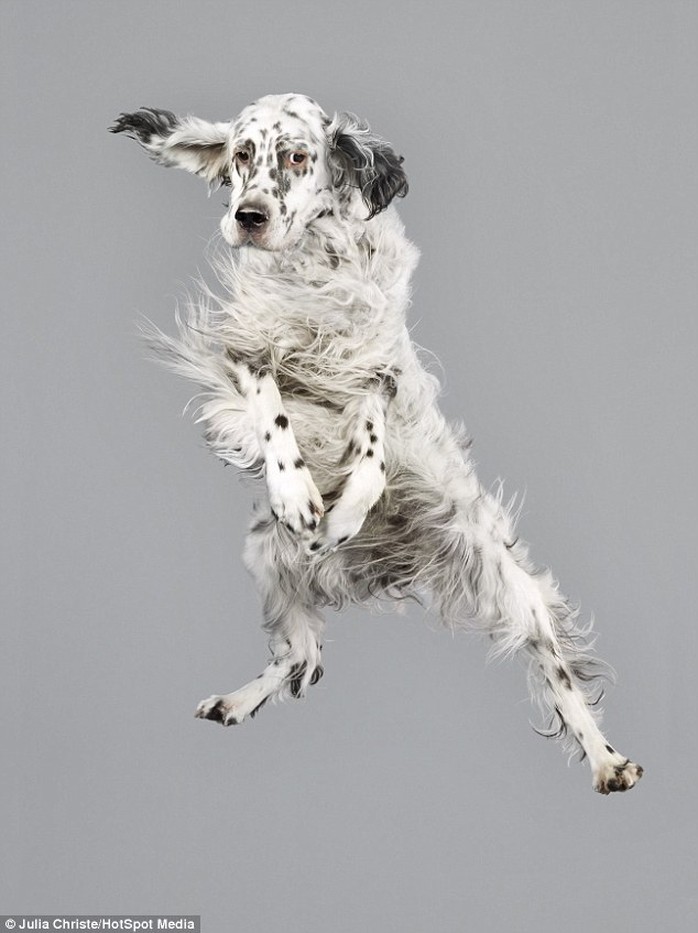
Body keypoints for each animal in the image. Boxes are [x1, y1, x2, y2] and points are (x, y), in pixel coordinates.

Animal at [110, 93, 640, 792]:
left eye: (297, 156)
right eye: (242, 154)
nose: (248, 216)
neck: (312, 265)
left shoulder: (375, 370)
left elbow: (370, 451)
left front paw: (345, 513)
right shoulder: (247, 354)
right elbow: (273, 411)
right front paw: (297, 492)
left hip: (510, 585)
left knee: (559, 675)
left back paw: (608, 761)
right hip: (268, 556)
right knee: (302, 654)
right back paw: (236, 701)